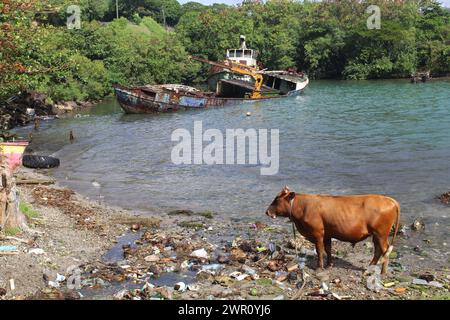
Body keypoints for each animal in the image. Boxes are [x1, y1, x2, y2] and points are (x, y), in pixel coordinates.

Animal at [266, 186, 400, 274]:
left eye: (277, 199)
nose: (267, 212)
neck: (303, 207)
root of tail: (390, 200)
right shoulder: (327, 235)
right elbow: (328, 250)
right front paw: (329, 265)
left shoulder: (317, 233)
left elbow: (319, 251)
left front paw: (319, 267)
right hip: (377, 235)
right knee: (378, 250)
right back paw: (370, 267)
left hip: (381, 234)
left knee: (385, 250)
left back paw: (383, 272)